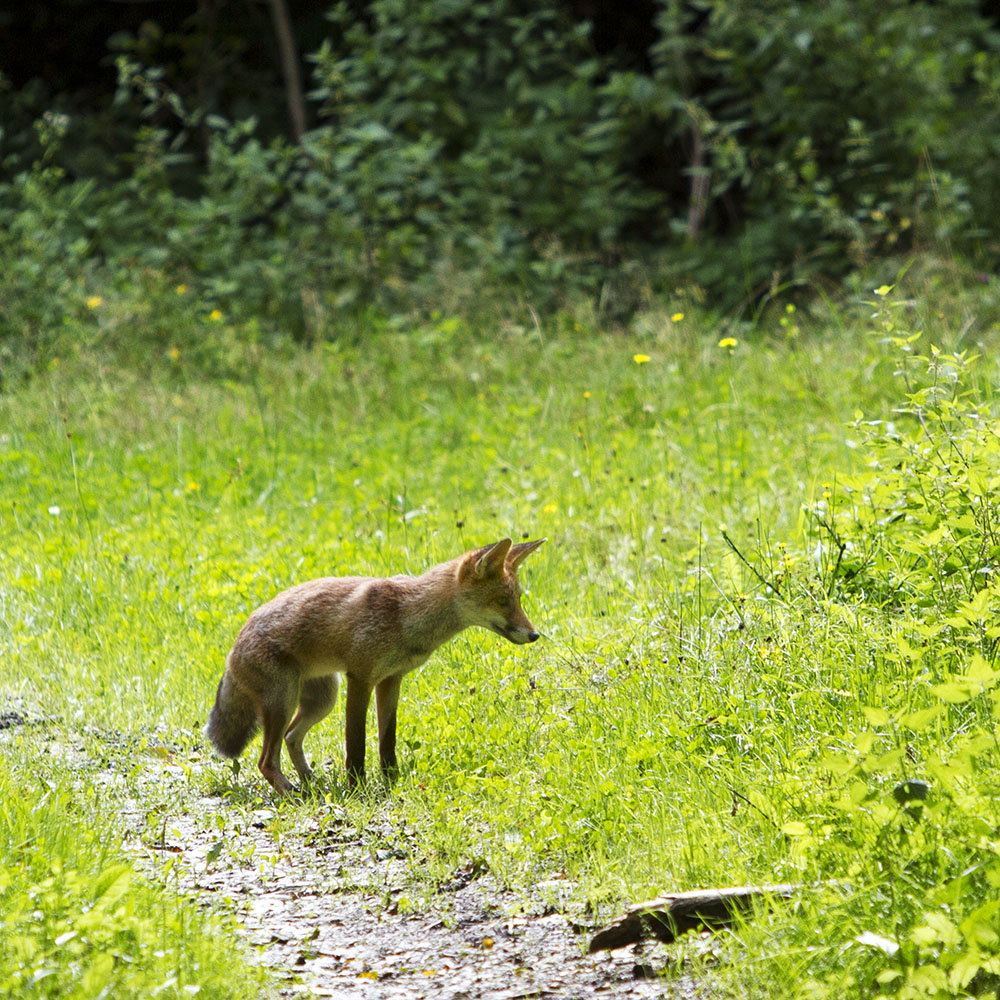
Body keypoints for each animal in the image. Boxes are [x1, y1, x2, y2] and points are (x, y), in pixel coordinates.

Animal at [205, 540, 548, 796]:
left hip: (322, 700)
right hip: (284, 700)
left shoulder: (391, 679)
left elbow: (387, 740)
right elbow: (356, 745)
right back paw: (292, 793)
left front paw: (391, 781)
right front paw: (358, 789)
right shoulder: (360, 678)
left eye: (518, 599)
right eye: (502, 601)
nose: (534, 635)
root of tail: (232, 650)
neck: (407, 615)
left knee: (291, 738)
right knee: (266, 760)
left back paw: (311, 782)